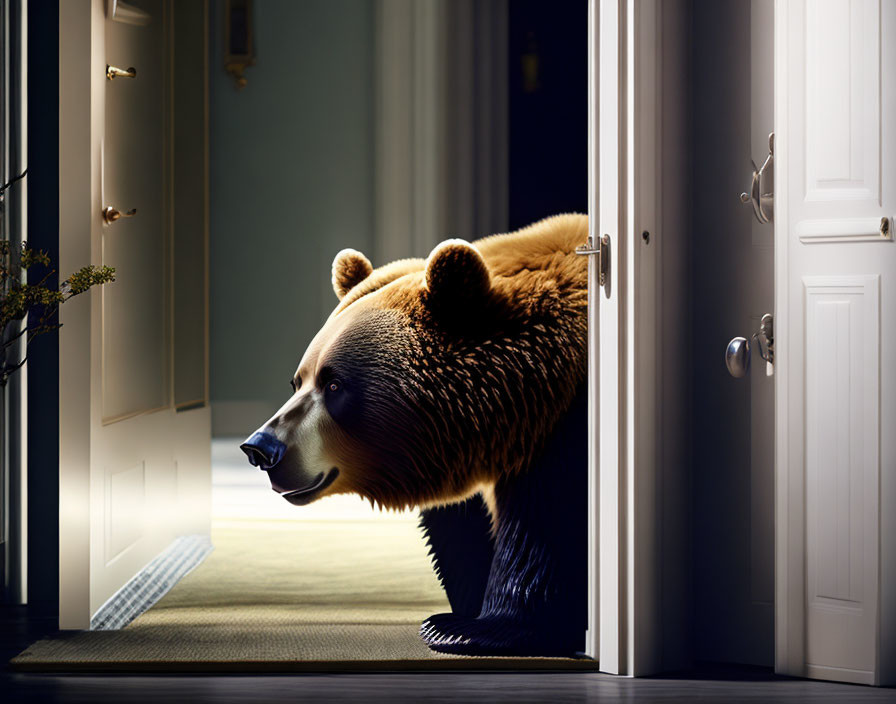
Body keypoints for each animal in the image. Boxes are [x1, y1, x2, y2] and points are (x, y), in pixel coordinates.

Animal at [240, 213, 588, 656]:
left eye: (334, 384)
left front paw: (467, 628)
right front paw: (461, 612)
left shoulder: (562, 436)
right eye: (297, 381)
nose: (261, 449)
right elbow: (460, 532)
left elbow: (546, 530)